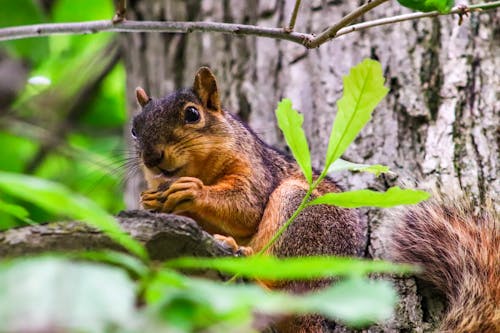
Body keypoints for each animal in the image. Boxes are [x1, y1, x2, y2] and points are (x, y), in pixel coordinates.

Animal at [132, 67, 364, 330]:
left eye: (192, 114)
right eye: (134, 129)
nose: (151, 158)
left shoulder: (255, 169)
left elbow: (247, 207)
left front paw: (192, 190)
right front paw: (150, 201)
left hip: (304, 218)